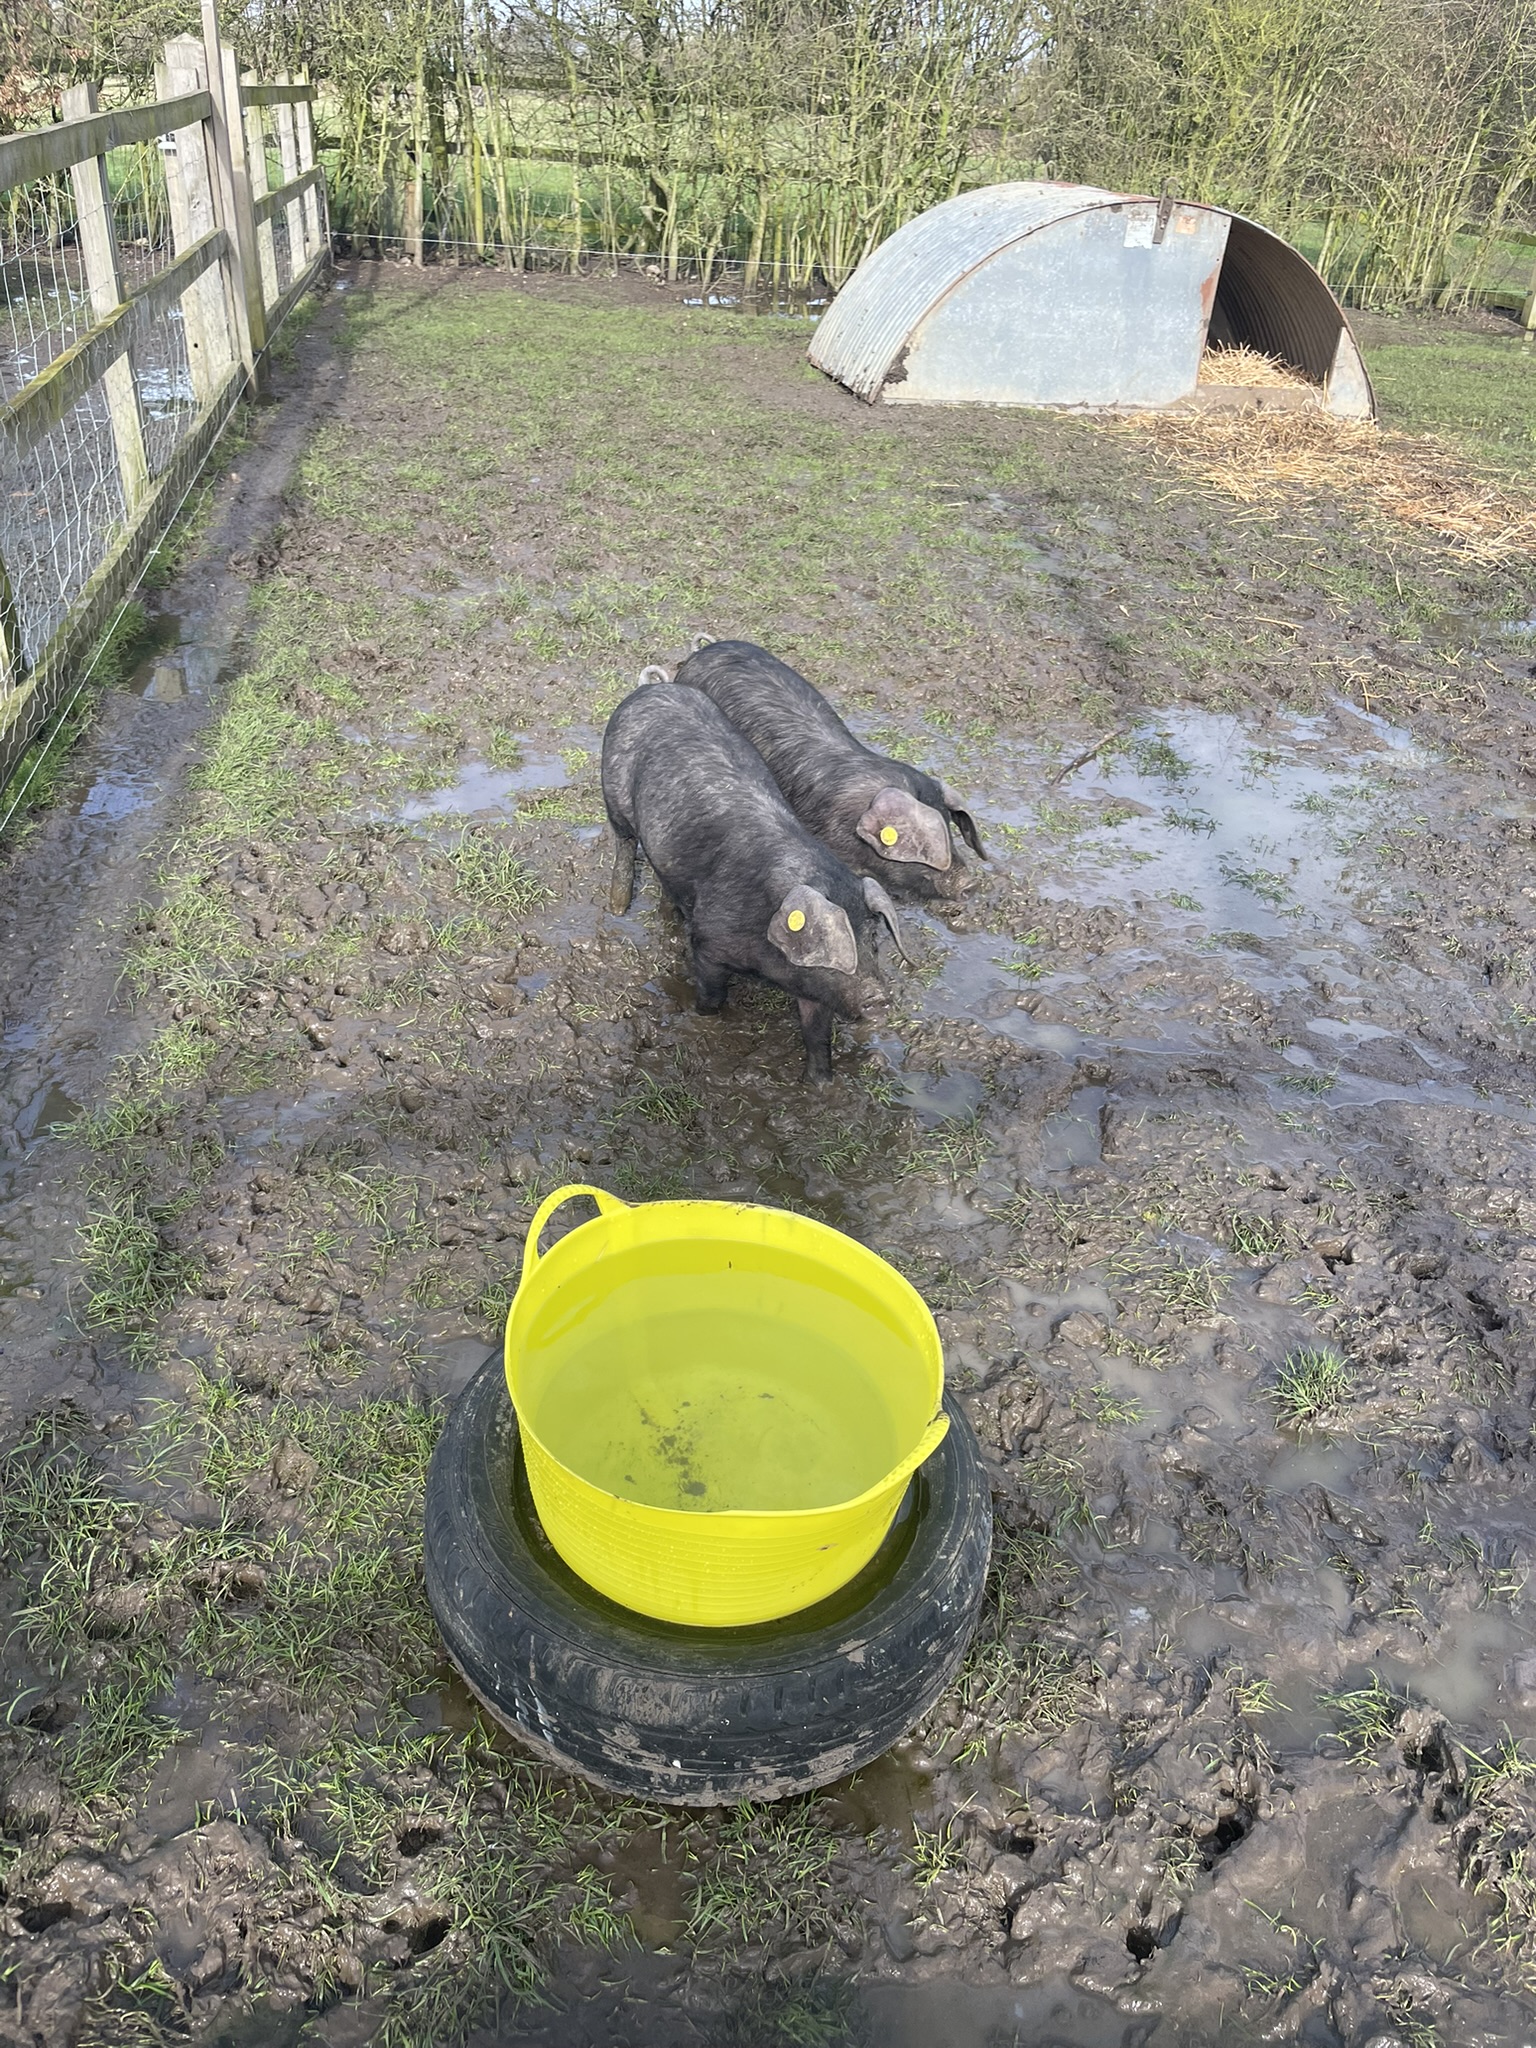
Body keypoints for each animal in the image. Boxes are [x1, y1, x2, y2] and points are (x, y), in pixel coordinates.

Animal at [601, 681, 905, 1079]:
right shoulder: (709, 946)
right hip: (614, 801)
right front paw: (703, 1018)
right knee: (623, 846)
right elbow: (712, 994)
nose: (879, 998)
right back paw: (617, 910)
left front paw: (820, 1083)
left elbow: (817, 1034)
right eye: (832, 945)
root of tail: (652, 688)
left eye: (872, 939)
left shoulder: (814, 987)